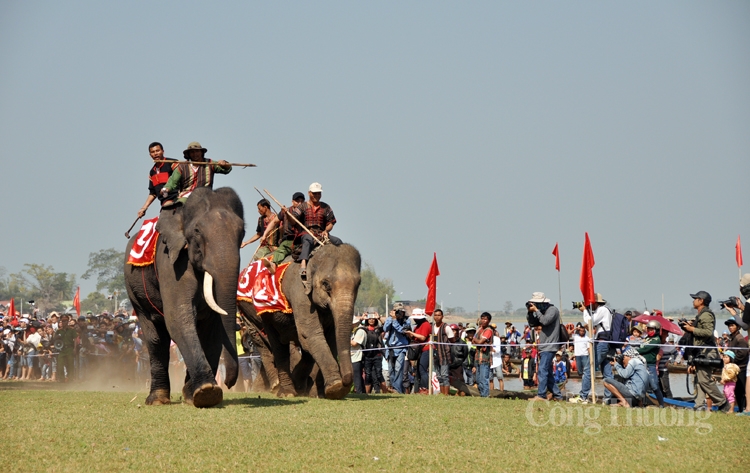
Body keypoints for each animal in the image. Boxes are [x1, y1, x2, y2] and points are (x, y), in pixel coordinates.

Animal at [125, 185, 245, 406]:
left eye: (242, 232)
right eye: (197, 231)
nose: (229, 383)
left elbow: (212, 328)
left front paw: (197, 394)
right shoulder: (171, 261)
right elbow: (178, 317)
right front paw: (206, 392)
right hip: (133, 291)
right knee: (155, 338)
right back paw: (157, 400)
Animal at [238, 242, 362, 396]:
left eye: (358, 284)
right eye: (326, 284)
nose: (347, 383)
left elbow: (328, 337)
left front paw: (318, 391)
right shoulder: (299, 292)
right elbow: (309, 333)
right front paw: (335, 388)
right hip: (252, 313)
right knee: (274, 345)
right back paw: (283, 390)